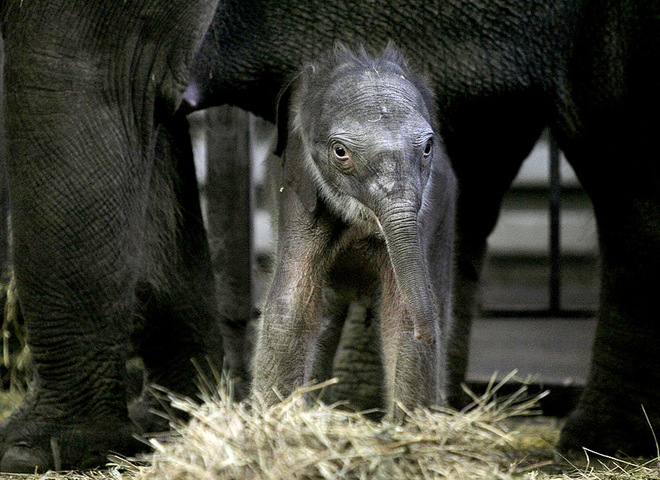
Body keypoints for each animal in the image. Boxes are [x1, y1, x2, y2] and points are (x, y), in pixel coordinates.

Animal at [250, 44, 456, 420]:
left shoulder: (429, 212)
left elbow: (401, 314)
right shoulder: (298, 195)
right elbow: (291, 305)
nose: (426, 336)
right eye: (340, 152)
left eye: (427, 148)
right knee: (326, 315)